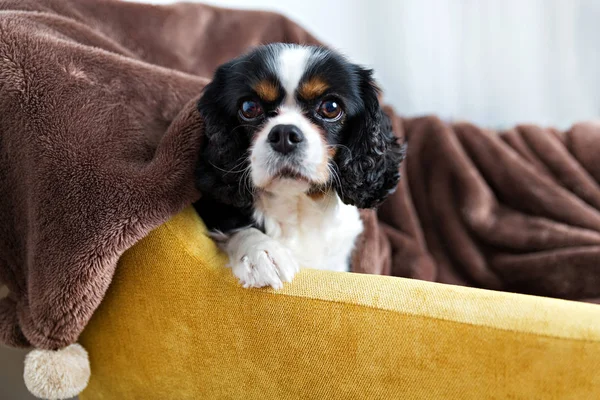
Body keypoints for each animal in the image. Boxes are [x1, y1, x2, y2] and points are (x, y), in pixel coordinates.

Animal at [195, 43, 406, 288]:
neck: (296, 202)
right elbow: (236, 225)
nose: (284, 134)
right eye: (249, 107)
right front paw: (262, 253)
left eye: (331, 107)